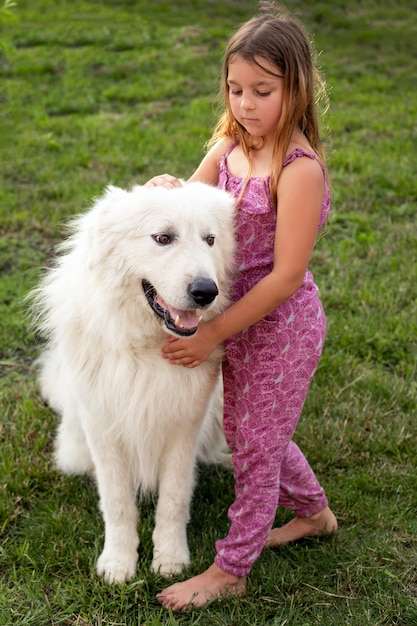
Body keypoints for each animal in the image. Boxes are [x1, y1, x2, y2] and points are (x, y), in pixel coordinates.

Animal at [30, 183, 234, 584]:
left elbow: (173, 499)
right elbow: (117, 503)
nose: (206, 292)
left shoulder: (184, 429)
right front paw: (118, 563)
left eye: (210, 240)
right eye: (163, 238)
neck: (146, 349)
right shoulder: (103, 429)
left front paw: (170, 559)